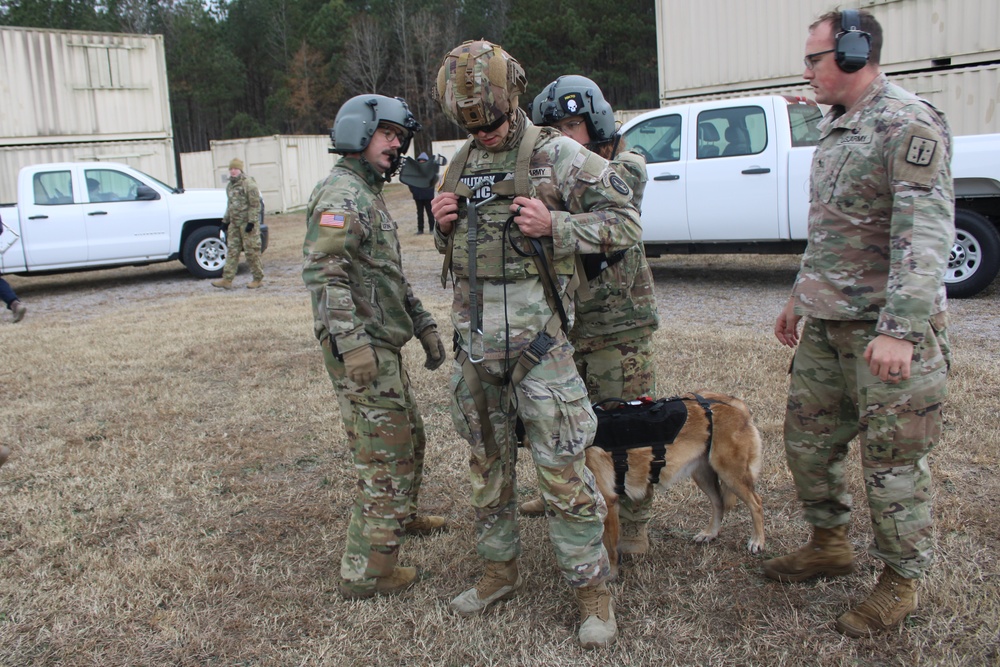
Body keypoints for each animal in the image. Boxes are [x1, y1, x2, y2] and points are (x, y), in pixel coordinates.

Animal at [584, 394, 764, 576]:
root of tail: (731, 402)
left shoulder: (607, 503)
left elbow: (609, 549)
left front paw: (610, 574)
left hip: (731, 475)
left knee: (756, 503)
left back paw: (757, 540)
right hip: (703, 476)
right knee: (718, 503)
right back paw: (710, 533)